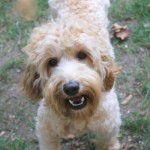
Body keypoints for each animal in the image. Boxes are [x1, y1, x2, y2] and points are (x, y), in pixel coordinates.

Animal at [21, 0, 121, 150]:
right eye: (52, 62)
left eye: (82, 55)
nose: (71, 88)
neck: (79, 114)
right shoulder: (46, 132)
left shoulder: (108, 126)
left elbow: (107, 142)